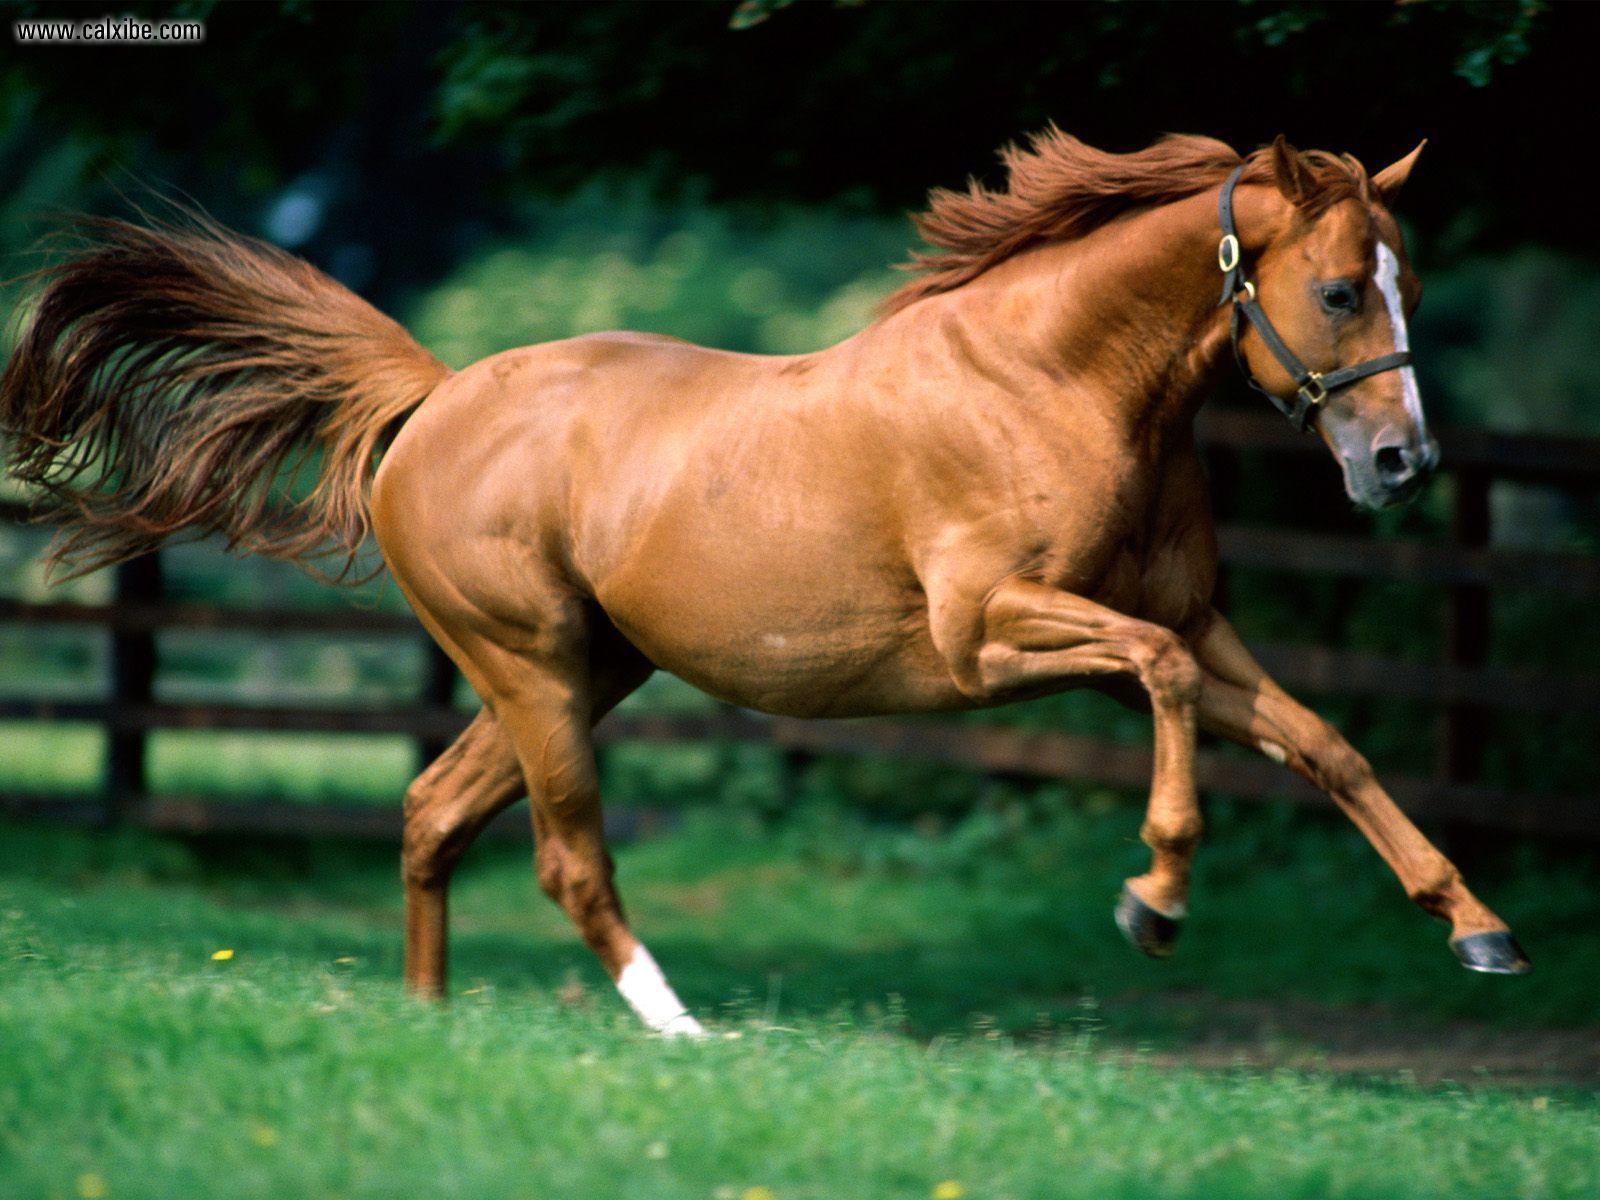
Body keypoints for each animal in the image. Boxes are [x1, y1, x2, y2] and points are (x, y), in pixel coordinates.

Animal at [0, 129, 1530, 1038]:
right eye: (1339, 290)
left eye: (1406, 278)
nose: (1402, 463)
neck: (1050, 383)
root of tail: (433, 398)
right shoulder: (993, 640)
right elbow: (1159, 692)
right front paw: (1152, 899)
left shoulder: (1193, 624)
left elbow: (1326, 745)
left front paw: (1480, 932)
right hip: (533, 669)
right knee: (565, 856)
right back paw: (678, 1029)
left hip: (586, 671)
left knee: (433, 811)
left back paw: (430, 1022)